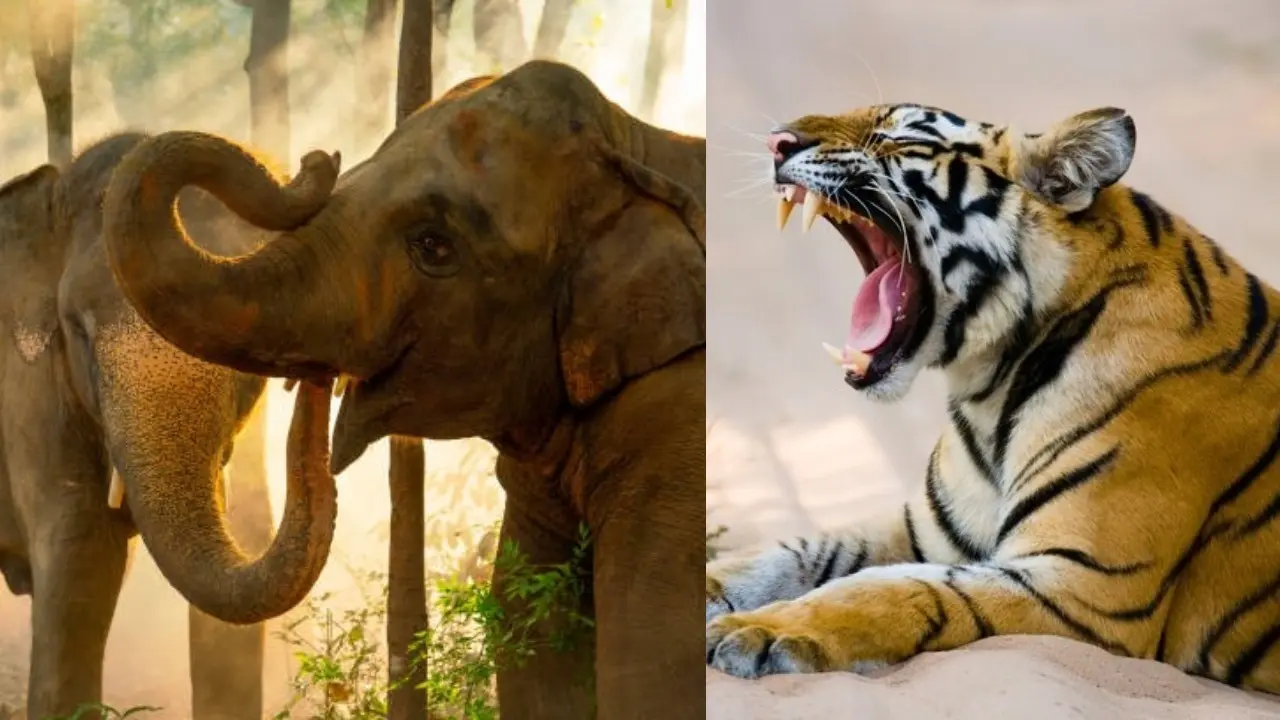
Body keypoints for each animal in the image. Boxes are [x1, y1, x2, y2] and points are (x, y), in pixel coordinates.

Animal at [100, 60, 705, 719]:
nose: (318, 160)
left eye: (433, 244)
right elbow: (534, 645)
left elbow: (654, 658)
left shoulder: (675, 435)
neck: (634, 144)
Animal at [705, 102, 1280, 694]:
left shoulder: (1083, 587)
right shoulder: (929, 530)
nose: (776, 142)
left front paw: (760, 630)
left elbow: (891, 588)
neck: (992, 388)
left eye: (899, 135)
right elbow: (796, 551)